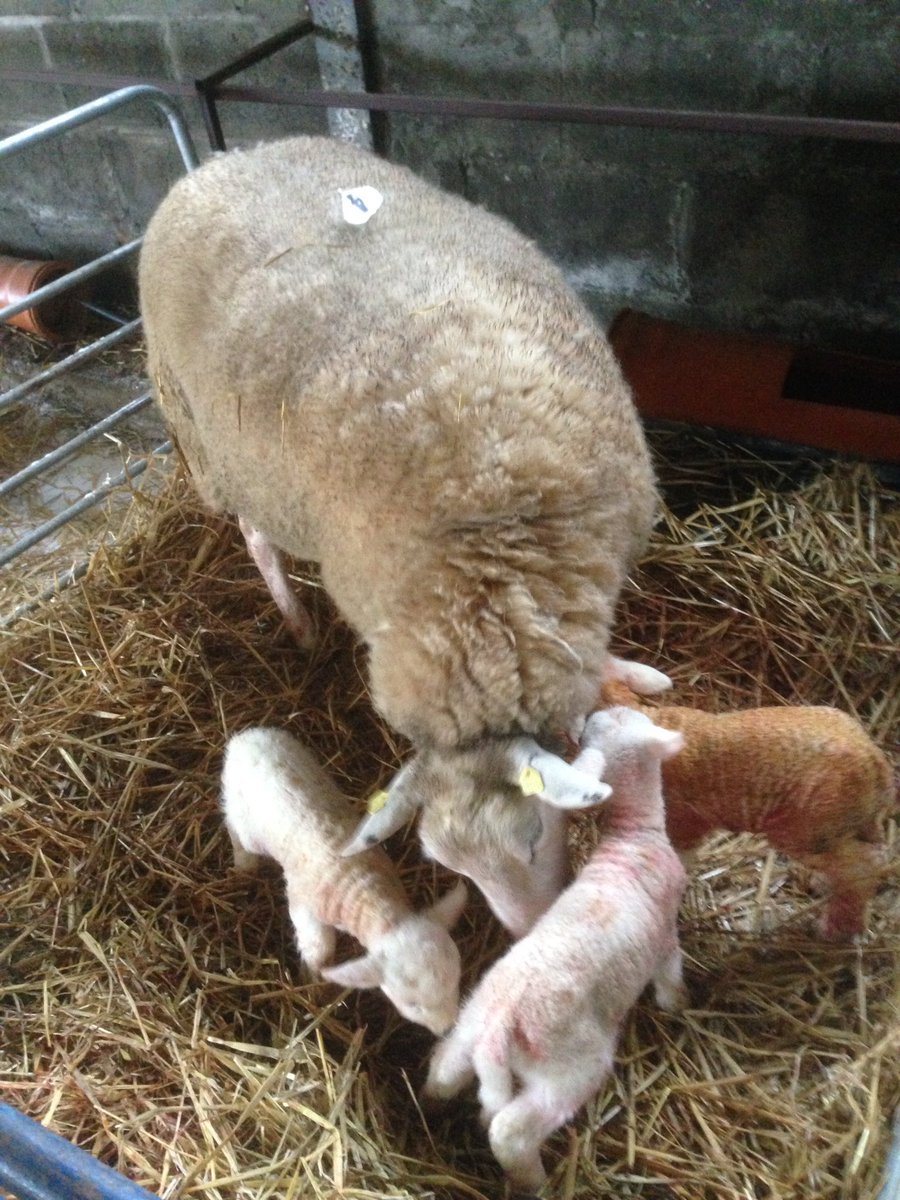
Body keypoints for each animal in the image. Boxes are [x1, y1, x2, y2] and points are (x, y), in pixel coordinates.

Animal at [222, 724, 468, 1036]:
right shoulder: (305, 907)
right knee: (235, 829)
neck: (368, 894)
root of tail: (246, 737)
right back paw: (244, 864)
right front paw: (313, 981)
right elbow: (318, 948)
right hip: (242, 814)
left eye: (457, 980)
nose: (448, 1030)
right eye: (412, 1005)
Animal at [422, 705, 691, 1195]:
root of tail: (499, 1028)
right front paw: (678, 1004)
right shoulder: (665, 934)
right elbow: (671, 973)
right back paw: (533, 1181)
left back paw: (432, 1107)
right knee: (509, 1130)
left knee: (445, 1067)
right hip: (569, 1068)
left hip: (472, 1020)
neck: (631, 834)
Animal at [600, 681, 897, 940]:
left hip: (809, 827)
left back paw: (835, 930)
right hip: (848, 823)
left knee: (863, 866)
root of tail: (875, 762)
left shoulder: (684, 819)